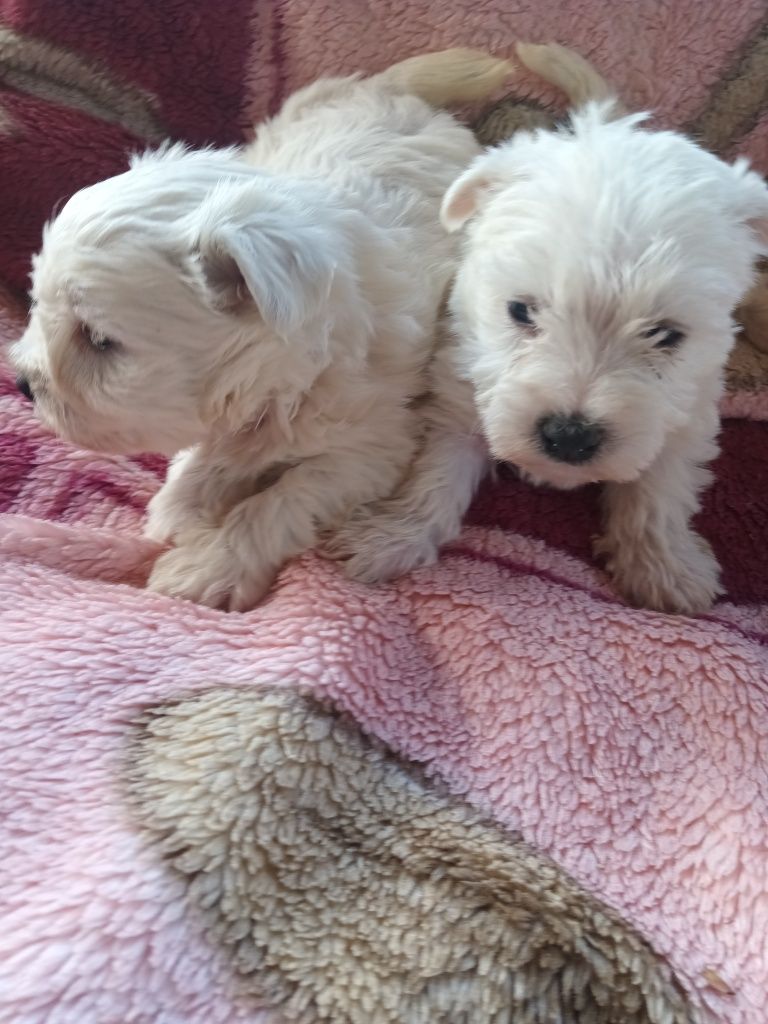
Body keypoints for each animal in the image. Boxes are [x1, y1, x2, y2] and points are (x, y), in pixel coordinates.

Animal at [10, 49, 512, 606]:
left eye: (99, 341)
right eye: (36, 305)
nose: (23, 384)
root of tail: (386, 89)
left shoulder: (370, 447)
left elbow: (281, 500)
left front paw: (207, 566)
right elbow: (202, 462)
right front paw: (181, 507)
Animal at [335, 44, 768, 610]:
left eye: (667, 334)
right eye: (521, 311)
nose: (570, 435)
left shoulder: (688, 410)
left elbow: (660, 486)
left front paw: (664, 568)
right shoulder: (462, 391)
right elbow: (435, 470)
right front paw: (389, 536)